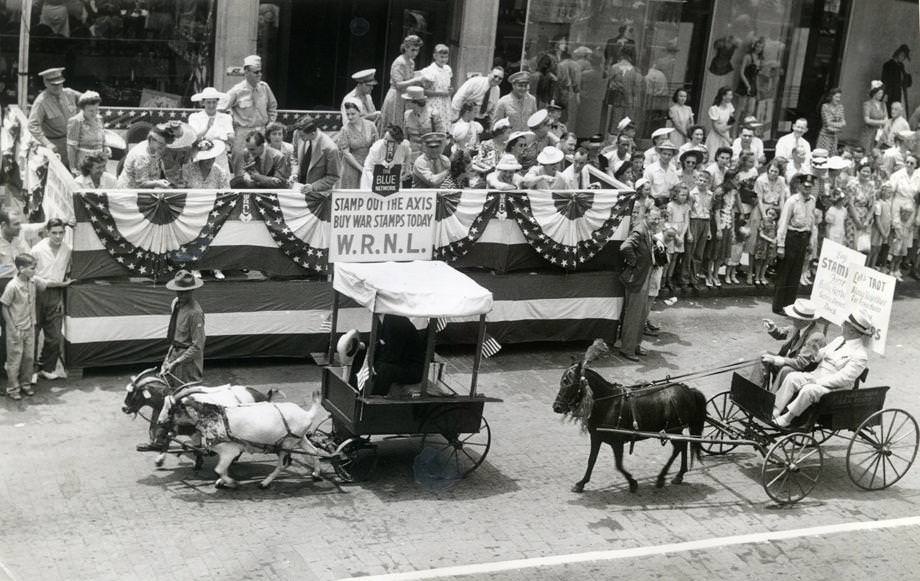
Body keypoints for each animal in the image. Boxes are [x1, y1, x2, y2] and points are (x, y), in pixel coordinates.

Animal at [548, 340, 708, 494]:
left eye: (568, 383)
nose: (556, 407)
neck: (609, 403)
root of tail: (688, 390)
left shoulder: (617, 442)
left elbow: (618, 465)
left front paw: (632, 482)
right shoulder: (596, 437)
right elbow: (591, 460)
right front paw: (581, 483)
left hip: (673, 430)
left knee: (679, 447)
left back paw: (662, 477)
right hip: (676, 430)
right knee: (684, 444)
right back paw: (679, 475)